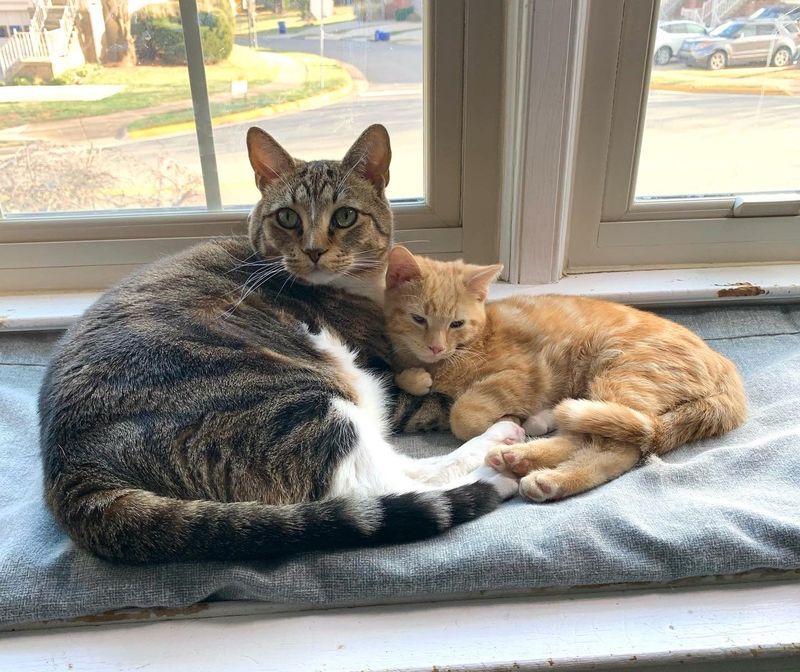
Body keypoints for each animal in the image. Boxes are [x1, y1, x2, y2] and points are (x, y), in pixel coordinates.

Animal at [40, 124, 520, 560]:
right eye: (288, 217)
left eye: (344, 216)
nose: (313, 250)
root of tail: (74, 466)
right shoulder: (384, 374)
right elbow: (437, 400)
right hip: (304, 405)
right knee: (383, 485)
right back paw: (497, 468)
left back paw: (501, 443)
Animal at [384, 247, 748, 504]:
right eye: (419, 319)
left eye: (456, 324)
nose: (435, 347)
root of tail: (729, 374)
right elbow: (402, 374)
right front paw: (417, 377)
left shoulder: (524, 373)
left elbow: (464, 415)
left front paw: (500, 417)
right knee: (588, 432)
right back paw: (525, 450)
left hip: (620, 373)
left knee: (616, 446)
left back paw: (541, 472)